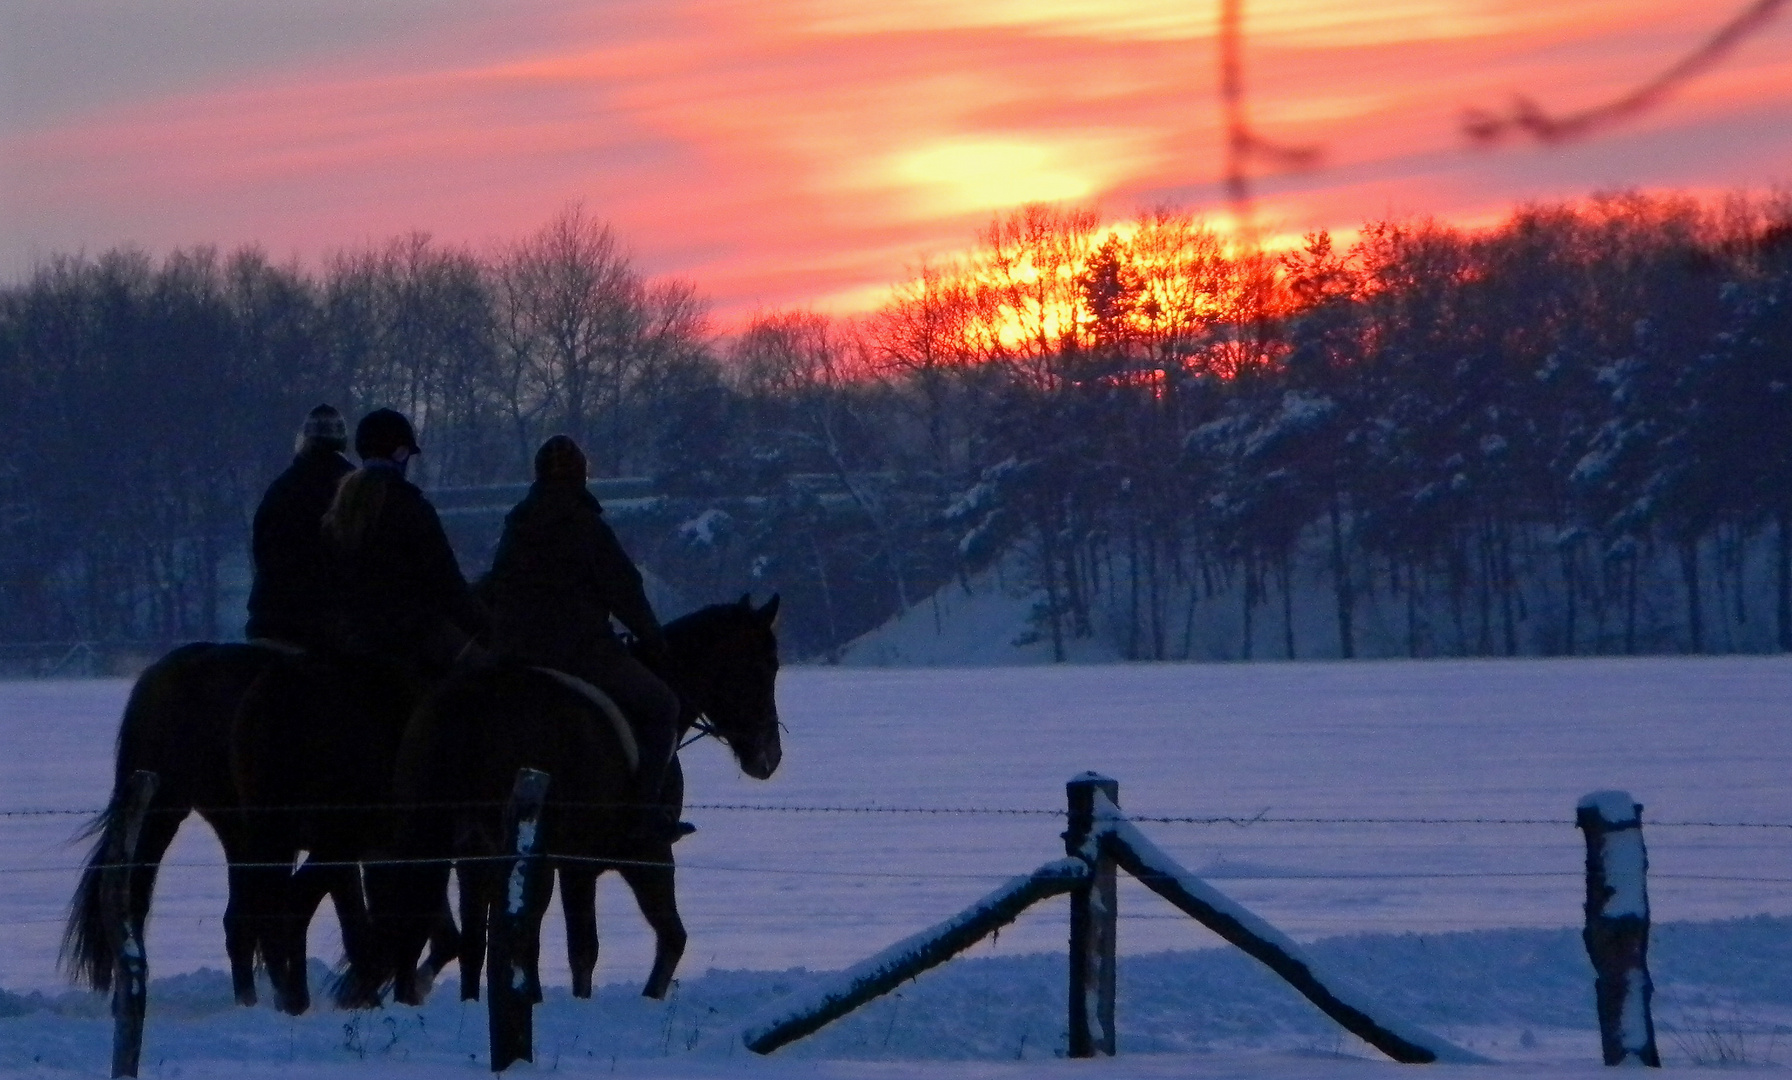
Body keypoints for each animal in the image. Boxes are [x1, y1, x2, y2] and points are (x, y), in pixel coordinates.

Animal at [345, 591, 781, 1002]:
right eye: (764, 668)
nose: (770, 756)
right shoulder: (636, 856)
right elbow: (636, 941)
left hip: (440, 840)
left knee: (435, 931)